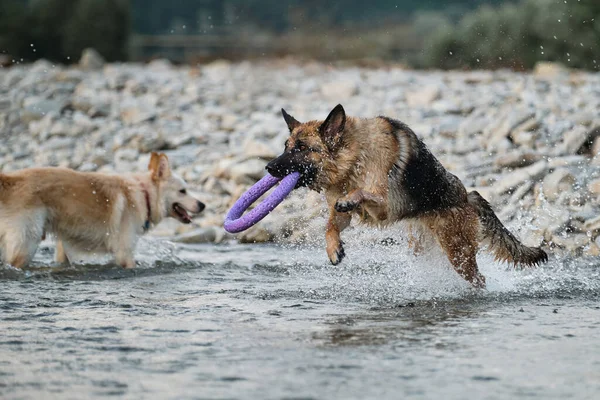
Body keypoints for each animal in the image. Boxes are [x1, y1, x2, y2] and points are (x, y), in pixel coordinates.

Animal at [0, 153, 204, 268]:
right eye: (183, 191)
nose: (203, 204)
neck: (144, 195)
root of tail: (11, 180)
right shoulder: (124, 253)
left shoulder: (63, 248)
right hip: (27, 243)